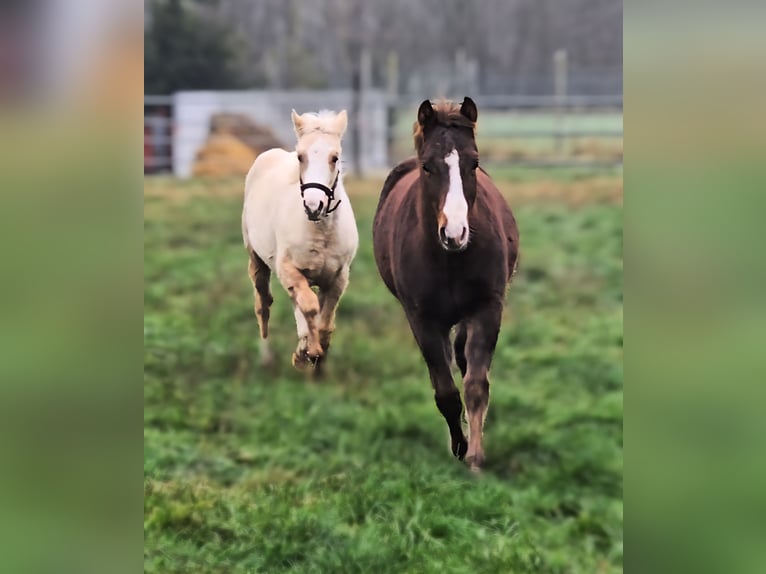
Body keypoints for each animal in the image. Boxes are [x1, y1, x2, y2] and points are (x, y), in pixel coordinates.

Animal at [242, 109, 358, 376]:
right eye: (300, 157)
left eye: (335, 157)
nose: (314, 206)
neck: (321, 231)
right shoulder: (288, 269)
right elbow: (310, 307)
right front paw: (307, 353)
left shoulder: (338, 277)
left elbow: (324, 322)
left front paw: (318, 361)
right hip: (257, 260)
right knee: (264, 304)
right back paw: (268, 358)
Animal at [373, 98, 519, 471]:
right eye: (428, 166)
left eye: (474, 162)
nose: (455, 233)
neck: (449, 259)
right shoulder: (422, 319)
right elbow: (446, 392)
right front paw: (459, 446)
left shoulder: (487, 307)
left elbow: (475, 384)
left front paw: (476, 457)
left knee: (463, 355)